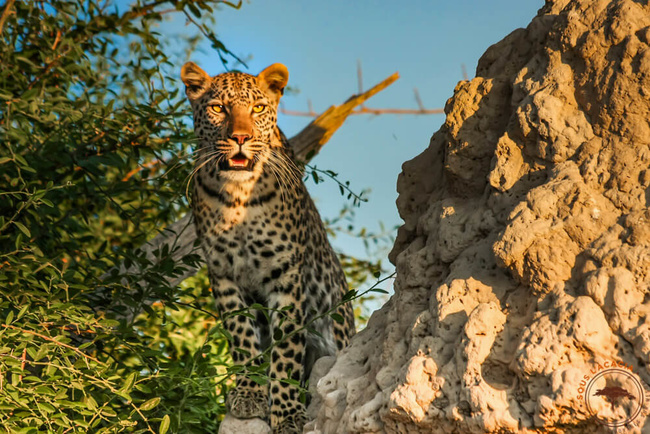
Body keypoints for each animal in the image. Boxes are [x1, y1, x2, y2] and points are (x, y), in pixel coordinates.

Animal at [180, 62, 354, 434]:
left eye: (258, 108)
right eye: (218, 108)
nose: (240, 138)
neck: (238, 196)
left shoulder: (285, 273)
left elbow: (286, 348)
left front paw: (287, 413)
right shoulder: (223, 274)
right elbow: (242, 337)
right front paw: (249, 395)